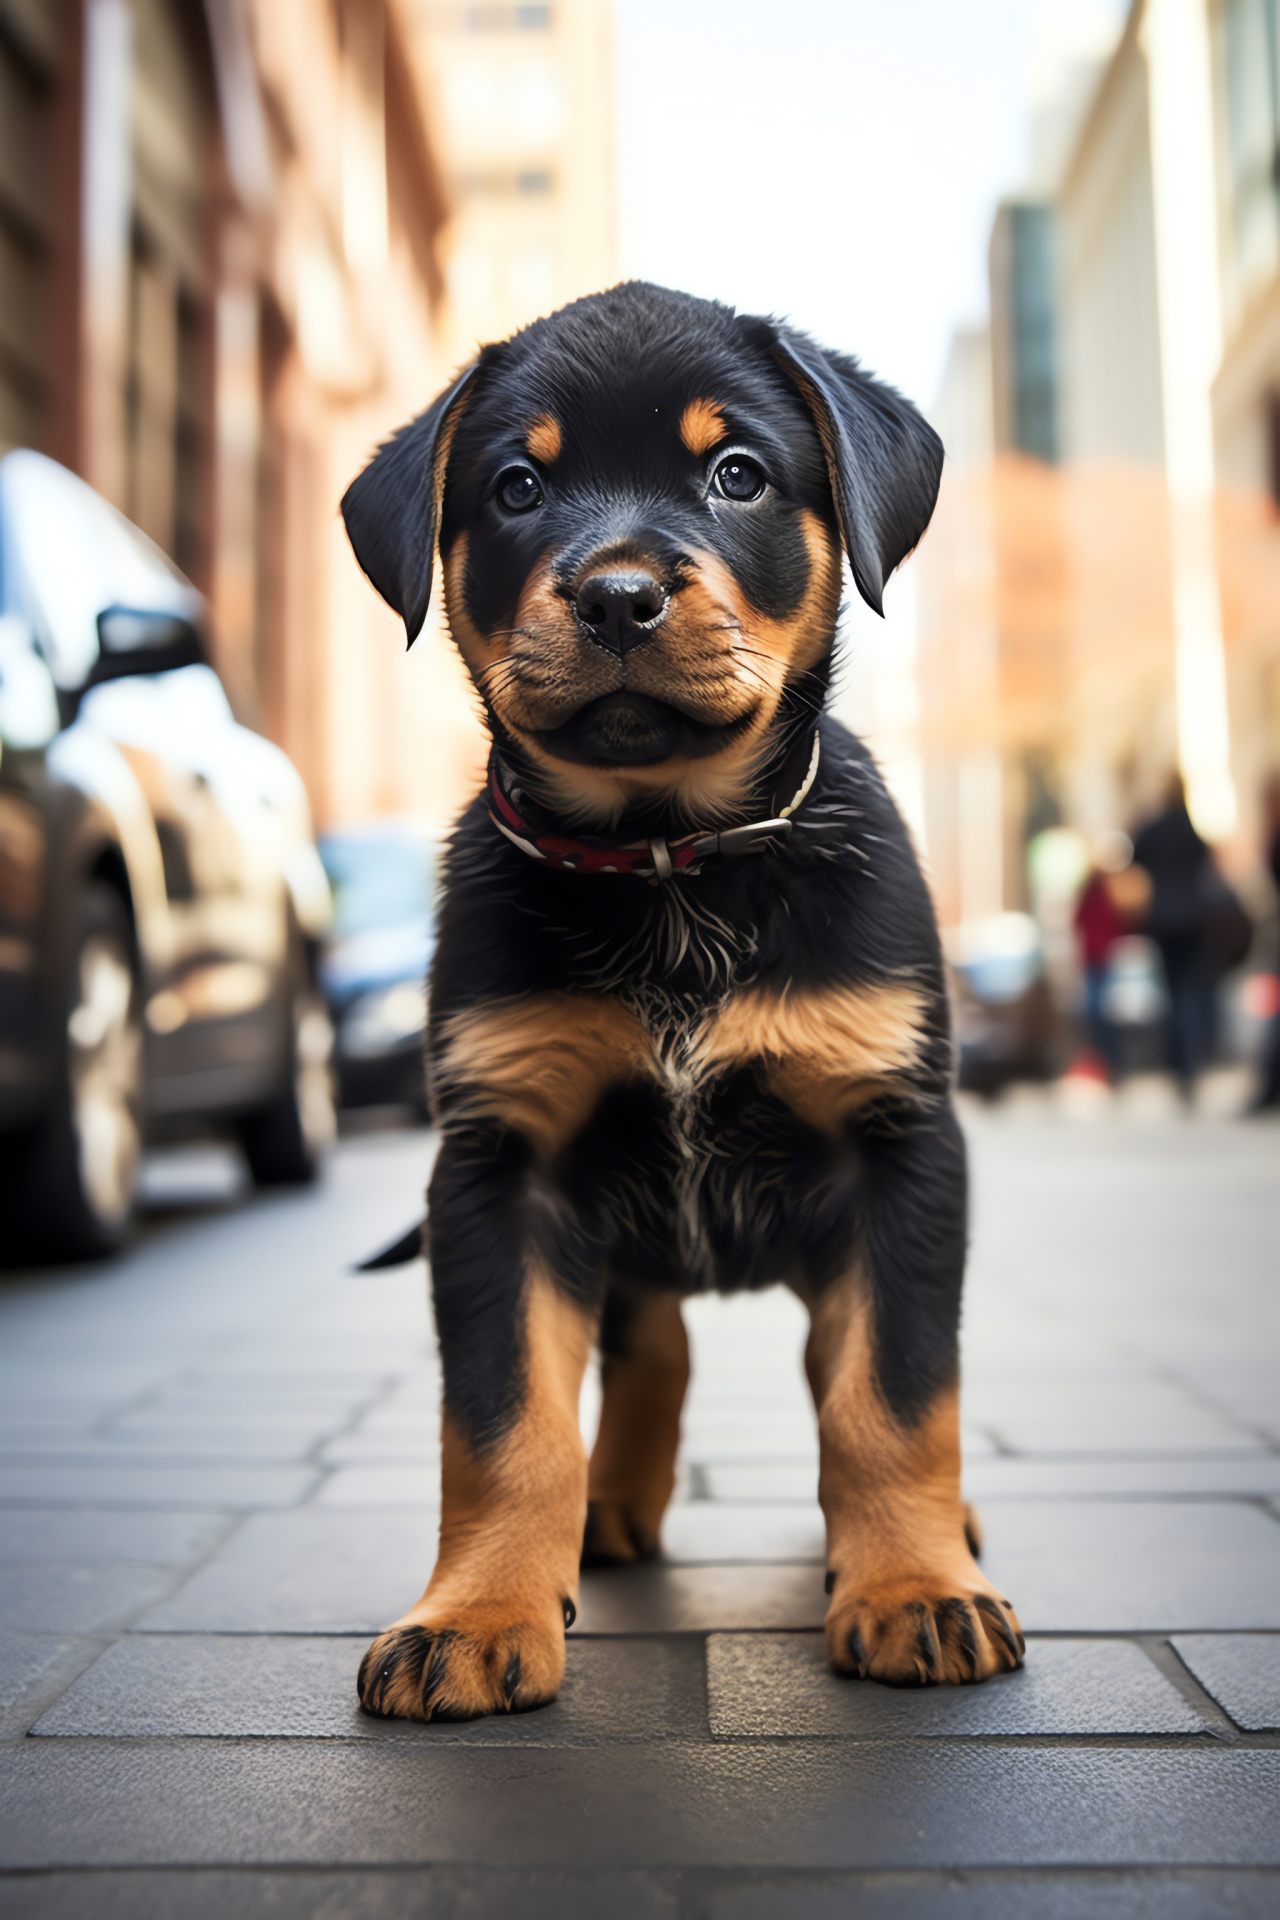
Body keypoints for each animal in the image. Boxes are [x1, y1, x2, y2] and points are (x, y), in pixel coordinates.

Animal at [345, 278, 1028, 1720]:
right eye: (516, 487)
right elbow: (501, 1420)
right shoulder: (500, 1167)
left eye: (737, 475)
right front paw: (473, 1614)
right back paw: (610, 1509)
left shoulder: (900, 1148)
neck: (669, 864)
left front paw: (914, 1590)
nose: (617, 596)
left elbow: (892, 1395)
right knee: (649, 1341)